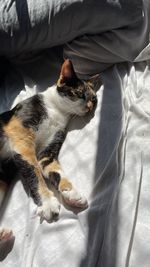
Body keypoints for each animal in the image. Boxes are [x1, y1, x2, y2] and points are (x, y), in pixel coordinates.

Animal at [0, 59, 97, 243]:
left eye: (94, 100)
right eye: (80, 93)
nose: (89, 108)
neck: (56, 111)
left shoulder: (48, 151)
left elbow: (54, 169)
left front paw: (71, 193)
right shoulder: (21, 141)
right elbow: (34, 173)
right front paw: (48, 202)